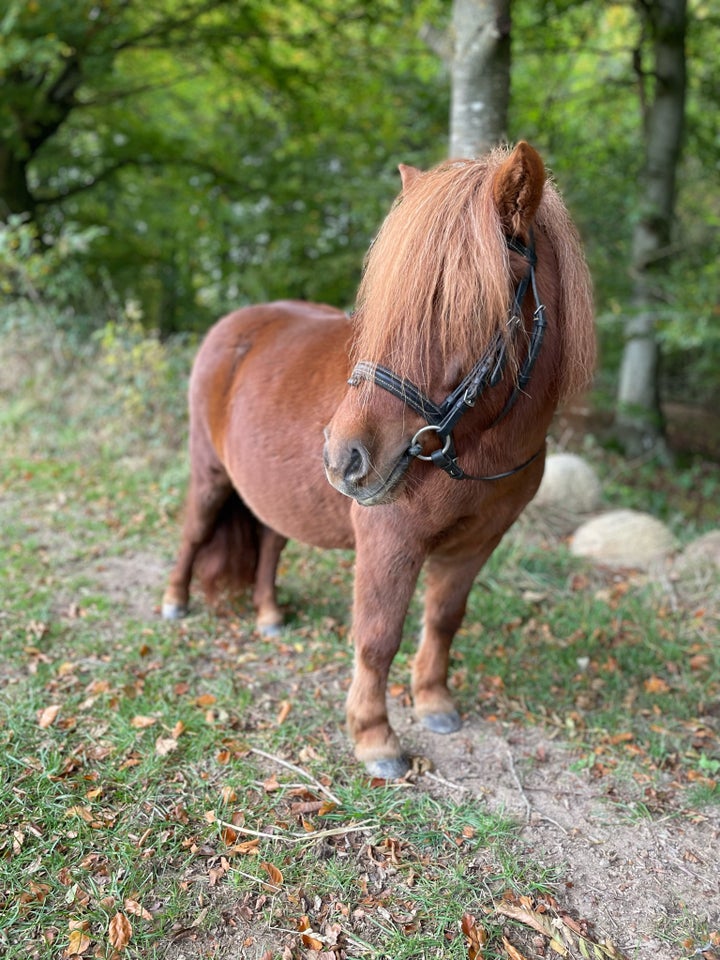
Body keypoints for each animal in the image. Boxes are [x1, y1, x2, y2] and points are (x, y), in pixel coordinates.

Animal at [165, 142, 596, 780]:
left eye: (462, 304)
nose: (344, 456)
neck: (476, 450)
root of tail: (237, 324)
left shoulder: (475, 545)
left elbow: (443, 618)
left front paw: (433, 701)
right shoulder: (389, 541)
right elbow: (377, 635)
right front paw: (374, 737)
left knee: (270, 540)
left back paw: (268, 613)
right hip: (210, 475)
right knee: (194, 533)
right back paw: (175, 602)